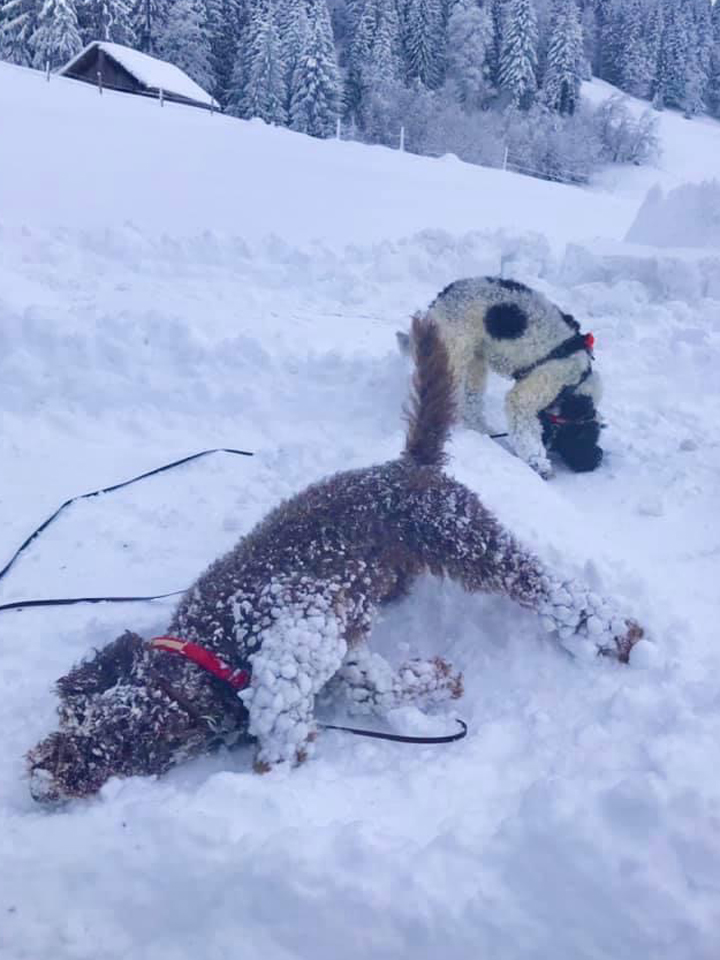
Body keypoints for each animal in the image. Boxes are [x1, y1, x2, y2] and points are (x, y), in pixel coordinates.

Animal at [400, 276, 600, 478]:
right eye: (581, 436)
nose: (594, 462)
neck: (575, 385)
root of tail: (443, 295)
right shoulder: (528, 394)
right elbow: (526, 433)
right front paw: (539, 463)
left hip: (475, 361)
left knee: (472, 402)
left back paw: (481, 430)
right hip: (454, 353)